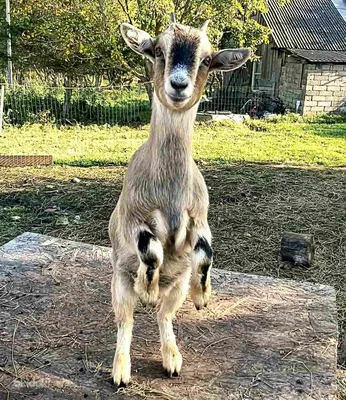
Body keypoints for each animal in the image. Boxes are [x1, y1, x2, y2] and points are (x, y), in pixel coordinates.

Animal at [108, 15, 249, 388]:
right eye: (158, 50)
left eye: (207, 59)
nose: (179, 85)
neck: (168, 193)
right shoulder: (132, 216)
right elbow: (151, 250)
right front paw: (146, 288)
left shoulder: (200, 218)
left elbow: (205, 252)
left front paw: (203, 297)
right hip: (118, 282)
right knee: (126, 320)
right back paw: (122, 369)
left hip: (177, 286)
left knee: (164, 315)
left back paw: (172, 359)